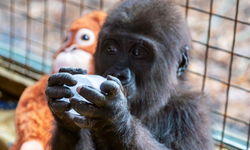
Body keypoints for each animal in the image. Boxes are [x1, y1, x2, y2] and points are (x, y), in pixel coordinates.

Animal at [45, 0, 213, 149]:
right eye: (111, 48)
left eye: (138, 53)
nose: (118, 73)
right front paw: (64, 120)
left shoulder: (191, 112)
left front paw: (115, 117)